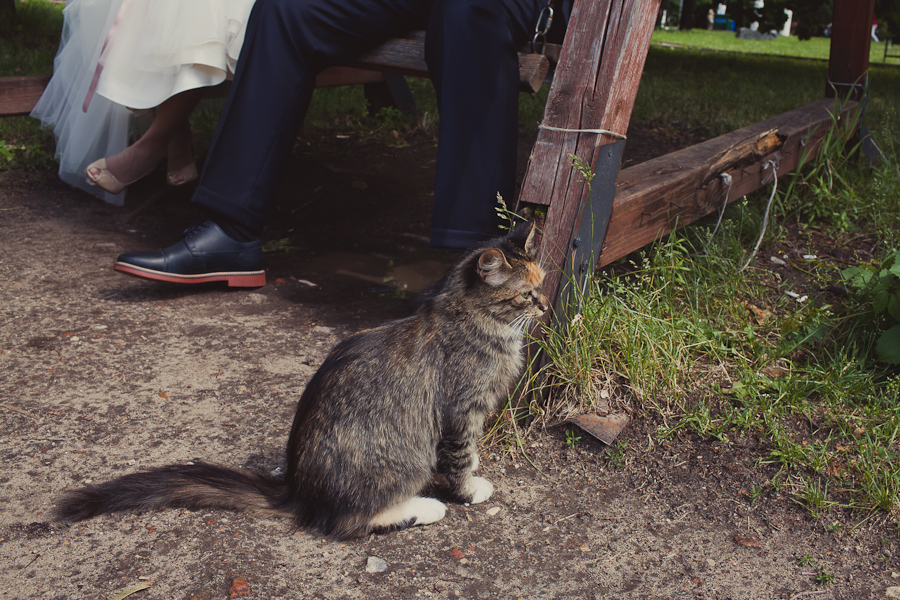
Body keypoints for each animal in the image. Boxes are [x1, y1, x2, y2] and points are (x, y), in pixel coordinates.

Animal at [58, 219, 548, 540]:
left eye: (542, 284)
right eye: (527, 294)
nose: (545, 305)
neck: (477, 320)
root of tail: (298, 492)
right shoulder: (460, 411)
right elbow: (460, 457)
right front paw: (468, 488)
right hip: (407, 458)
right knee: (346, 523)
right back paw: (424, 507)